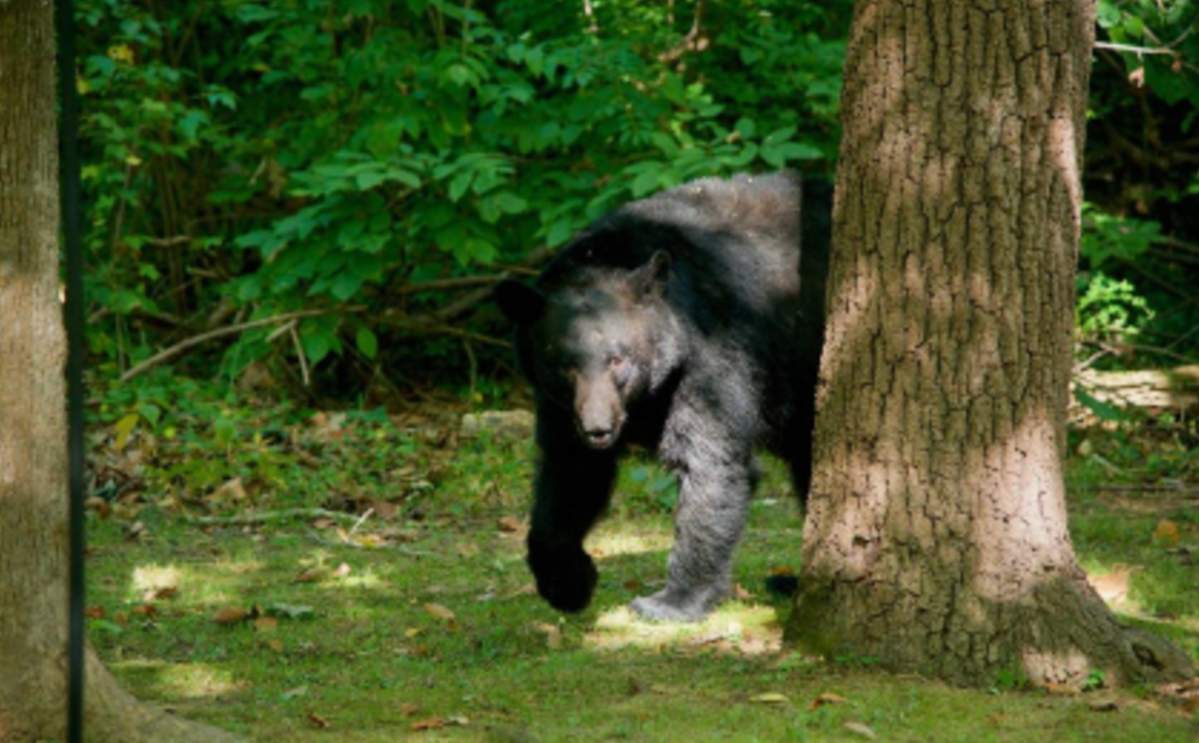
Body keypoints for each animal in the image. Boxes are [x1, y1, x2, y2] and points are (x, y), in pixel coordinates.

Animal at [494, 171, 830, 621]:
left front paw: (673, 600)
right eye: (561, 362)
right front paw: (567, 582)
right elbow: (569, 472)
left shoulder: (713, 356)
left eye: (618, 358)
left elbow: (708, 464)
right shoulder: (559, 405)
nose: (597, 428)